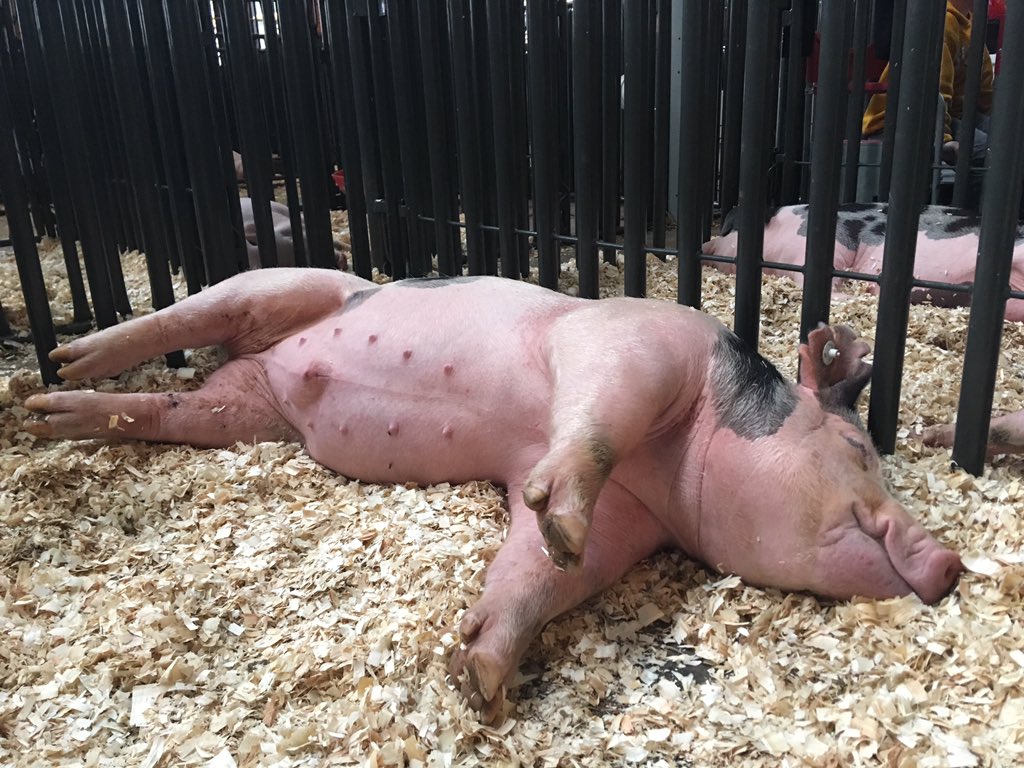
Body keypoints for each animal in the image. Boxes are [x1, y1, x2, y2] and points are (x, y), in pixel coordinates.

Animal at [21, 271, 962, 722]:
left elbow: (538, 577)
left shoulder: (634, 520)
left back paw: (47, 414)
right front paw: (560, 511)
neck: (678, 462)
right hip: (279, 285)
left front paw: (476, 673)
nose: (952, 563)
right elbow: (597, 423)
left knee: (169, 406)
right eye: (858, 448)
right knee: (180, 316)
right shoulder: (635, 342)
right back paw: (60, 364)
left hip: (245, 412)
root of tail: (277, 366)